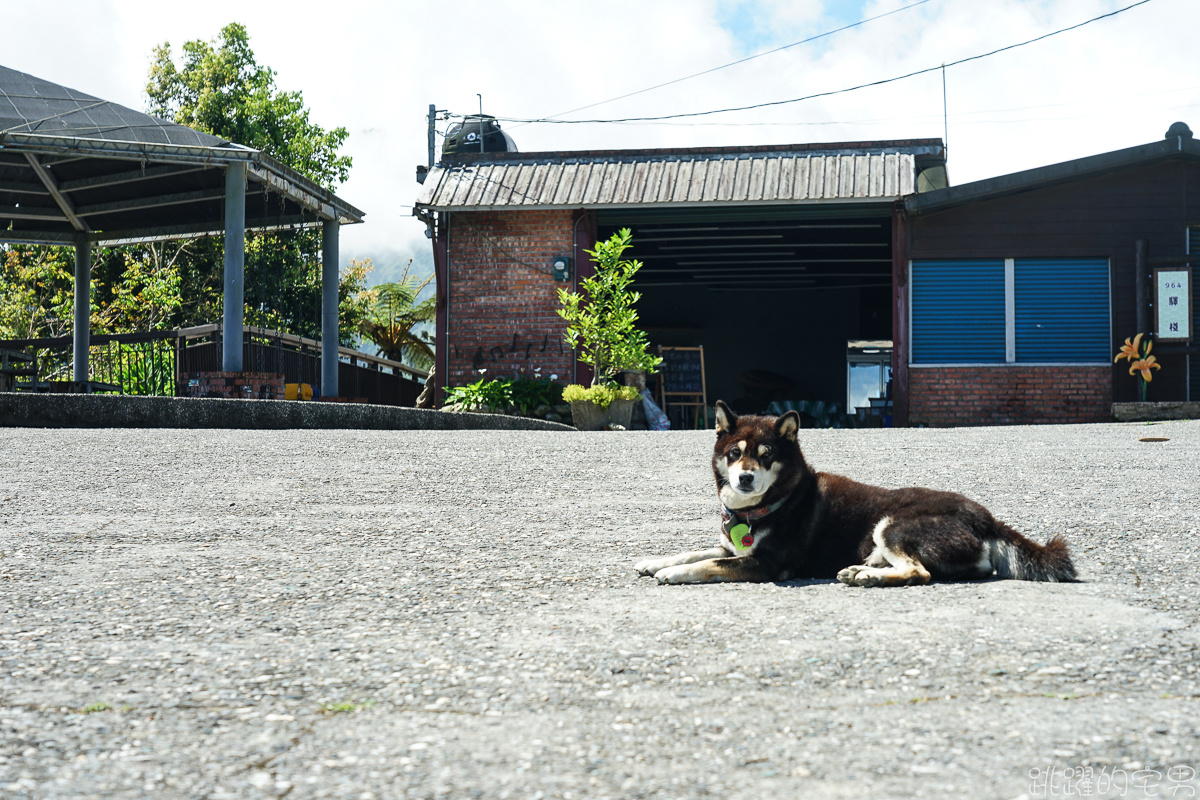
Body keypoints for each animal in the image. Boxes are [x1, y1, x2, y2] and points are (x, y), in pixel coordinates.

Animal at [633, 402, 1075, 585]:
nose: (744, 479)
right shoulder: (732, 545)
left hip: (893, 526)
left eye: (767, 455)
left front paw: (672, 574)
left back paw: (870, 577)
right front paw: (655, 561)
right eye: (734, 453)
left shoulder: (768, 564)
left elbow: (708, 564)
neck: (770, 505)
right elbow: (696, 551)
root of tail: (985, 517)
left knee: (920, 572)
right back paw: (864, 570)